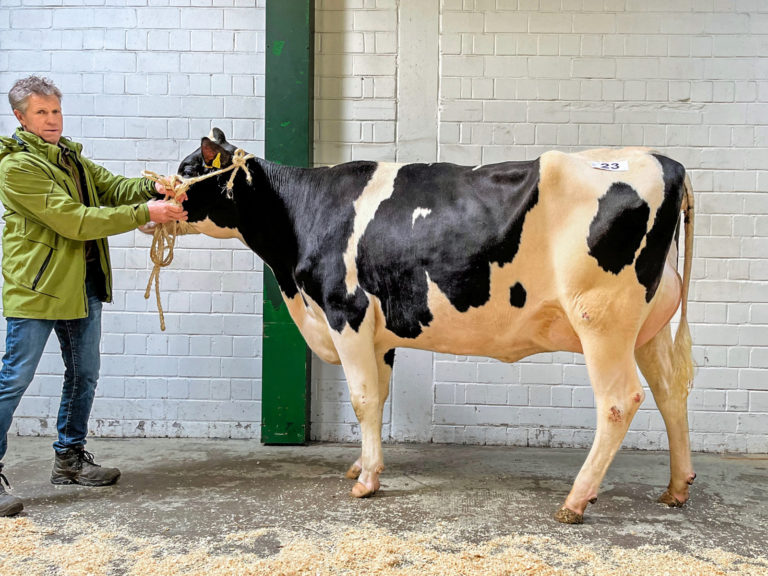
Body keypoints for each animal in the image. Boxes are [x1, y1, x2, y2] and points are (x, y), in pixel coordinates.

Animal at [170, 128, 696, 524]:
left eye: (189, 170)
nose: (158, 193)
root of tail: (664, 161)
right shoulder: (379, 333)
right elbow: (379, 396)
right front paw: (363, 464)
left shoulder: (347, 311)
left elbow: (362, 399)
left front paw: (367, 481)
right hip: (646, 326)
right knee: (670, 392)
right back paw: (676, 487)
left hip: (602, 317)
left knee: (619, 401)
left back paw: (576, 500)